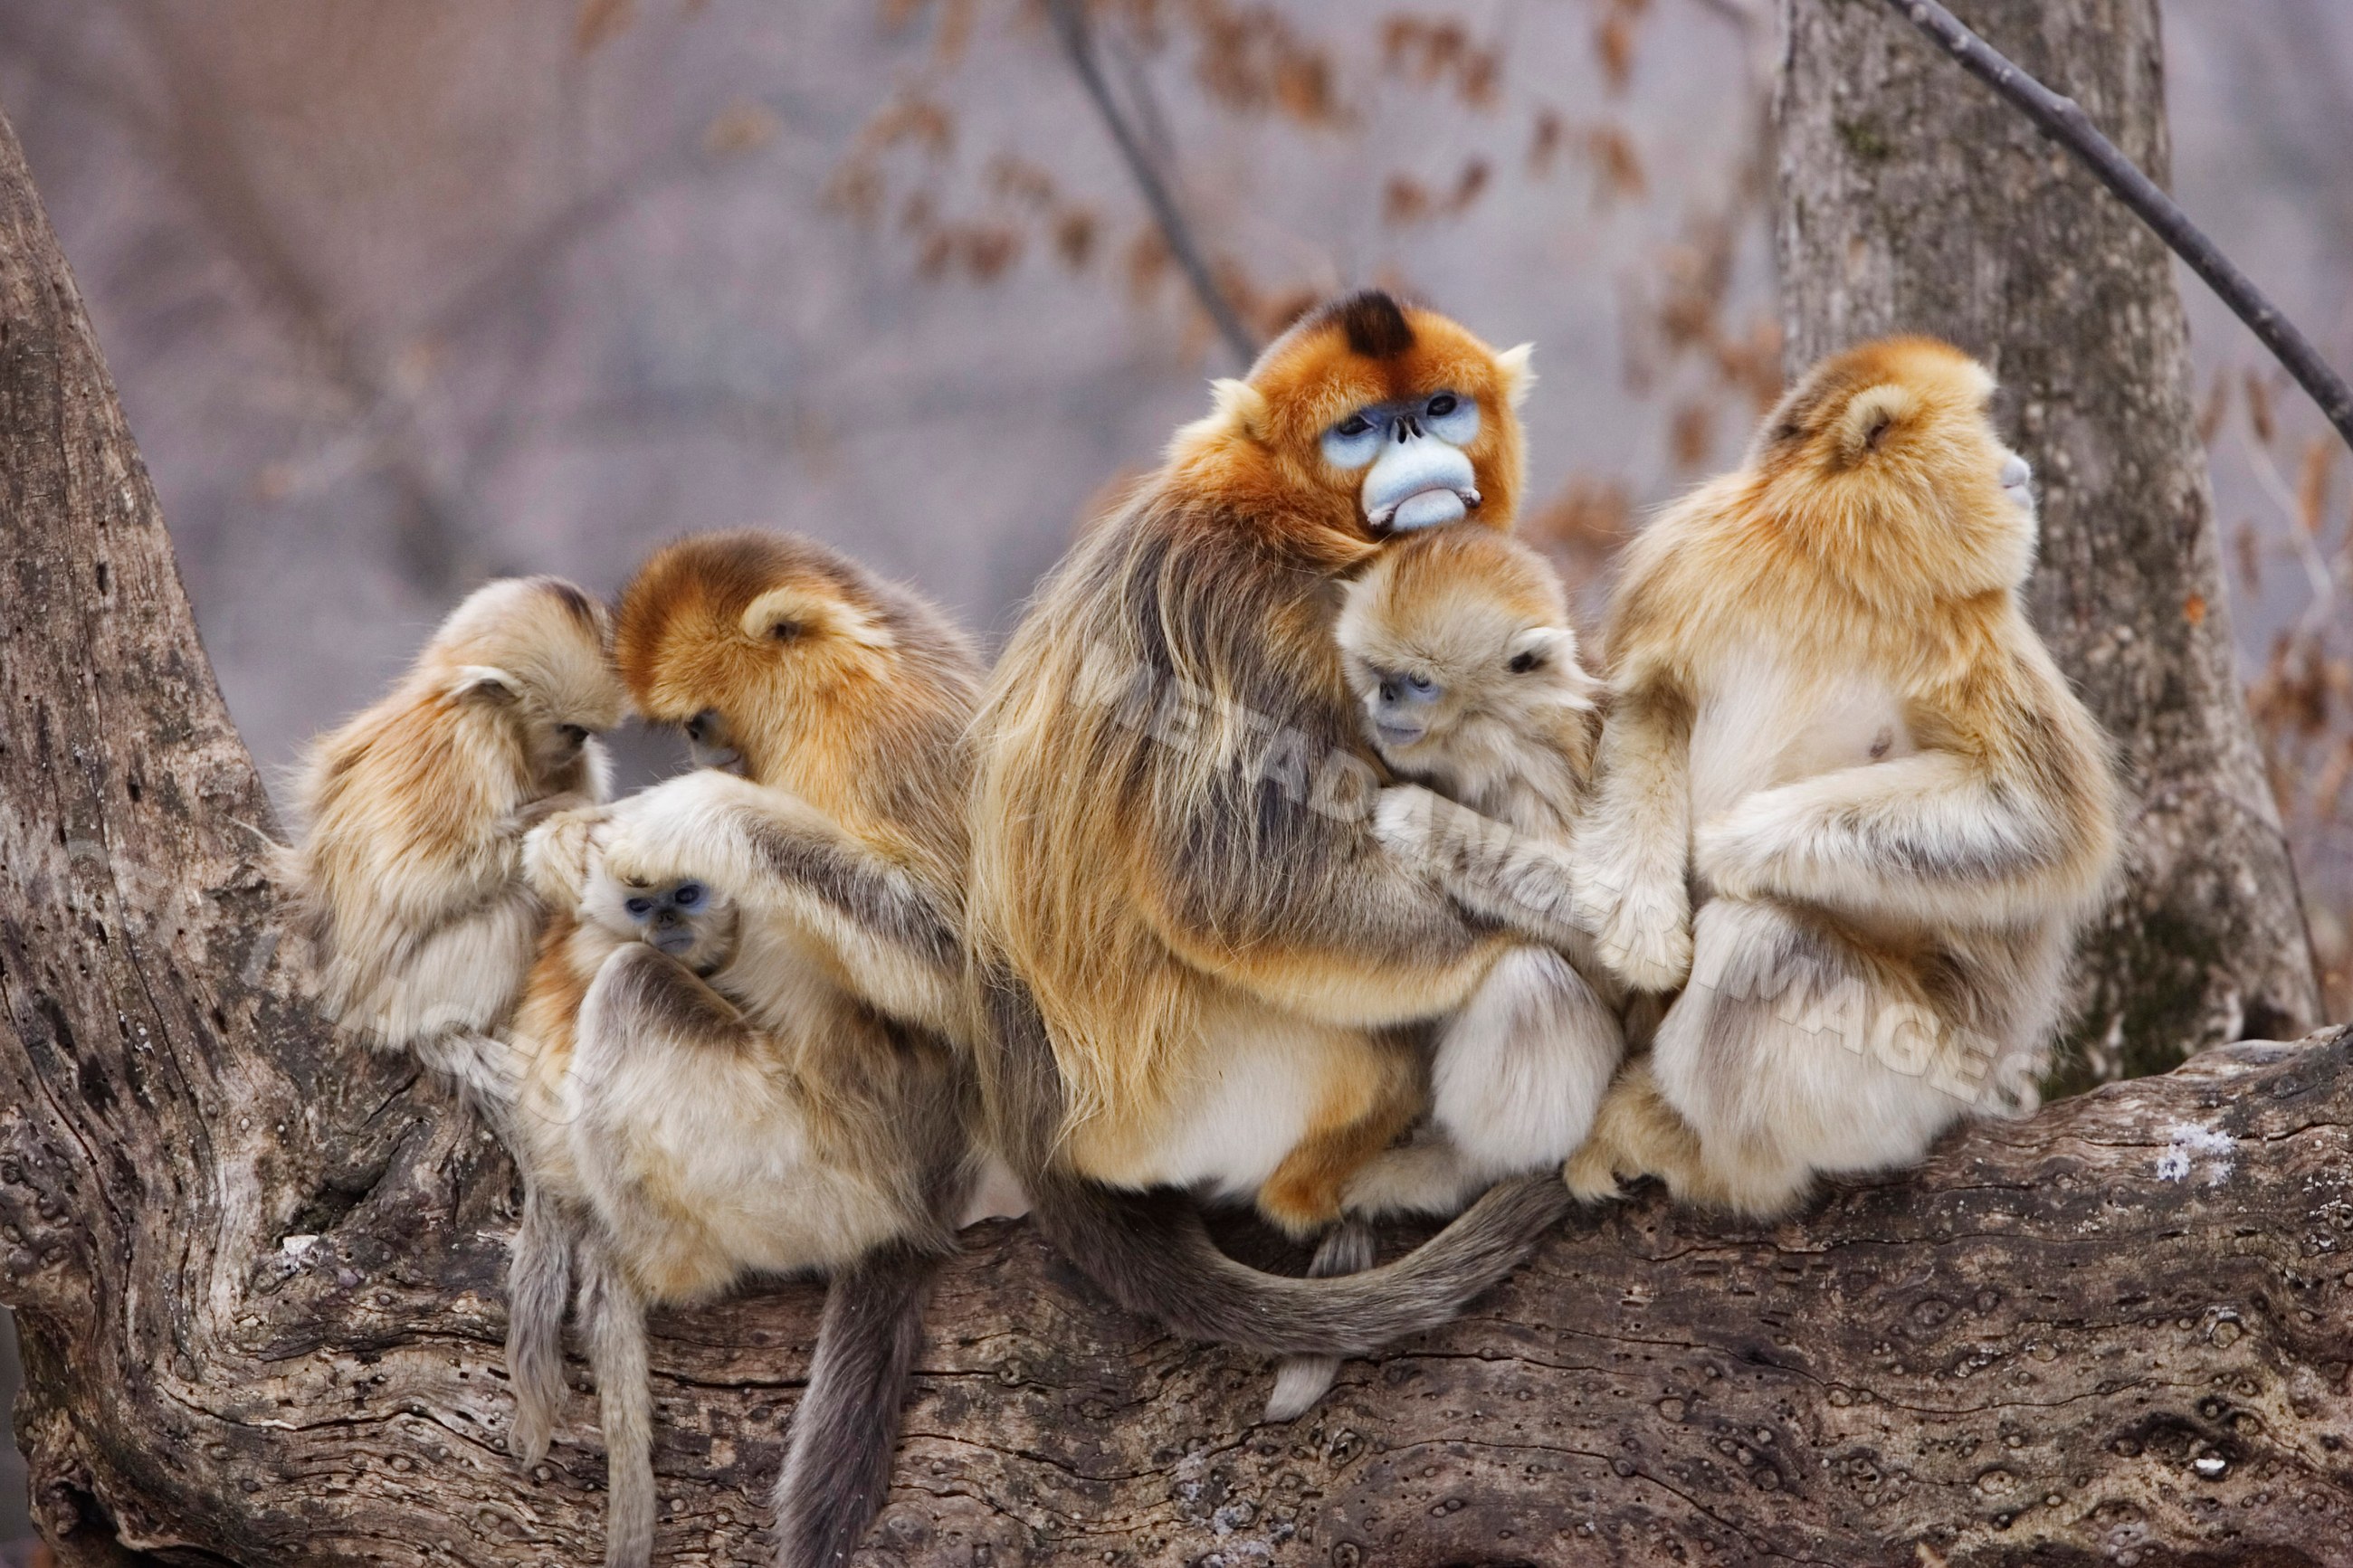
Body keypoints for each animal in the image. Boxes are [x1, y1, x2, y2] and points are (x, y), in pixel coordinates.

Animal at [284, 575, 625, 1095]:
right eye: (570, 729)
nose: (580, 745)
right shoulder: (468, 738)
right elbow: (414, 878)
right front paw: (574, 814)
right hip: (401, 998)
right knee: (519, 903)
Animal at [498, 531, 1002, 1568]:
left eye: (700, 718)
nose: (708, 751)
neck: (868, 651)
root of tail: (921, 1206)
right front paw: (566, 843)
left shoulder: (883, 732)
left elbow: (961, 980)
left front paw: (690, 811)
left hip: (811, 1177)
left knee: (634, 989)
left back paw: (649, 1264)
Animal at [966, 290, 1577, 1402]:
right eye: (1359, 428)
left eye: (1437, 406)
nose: (1414, 442)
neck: (1290, 518)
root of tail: (1042, 1143)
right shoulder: (1248, 608)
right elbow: (1230, 887)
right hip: (1197, 1093)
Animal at [1502, 335, 2125, 1217]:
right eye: (1978, 430)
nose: (2019, 471)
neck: (1825, 562)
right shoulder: (1687, 557)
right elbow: (1650, 703)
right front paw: (1644, 930)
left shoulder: (1966, 621)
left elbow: (2037, 816)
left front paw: (1727, 849)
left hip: (1914, 1078)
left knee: (1758, 942)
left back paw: (1715, 1161)